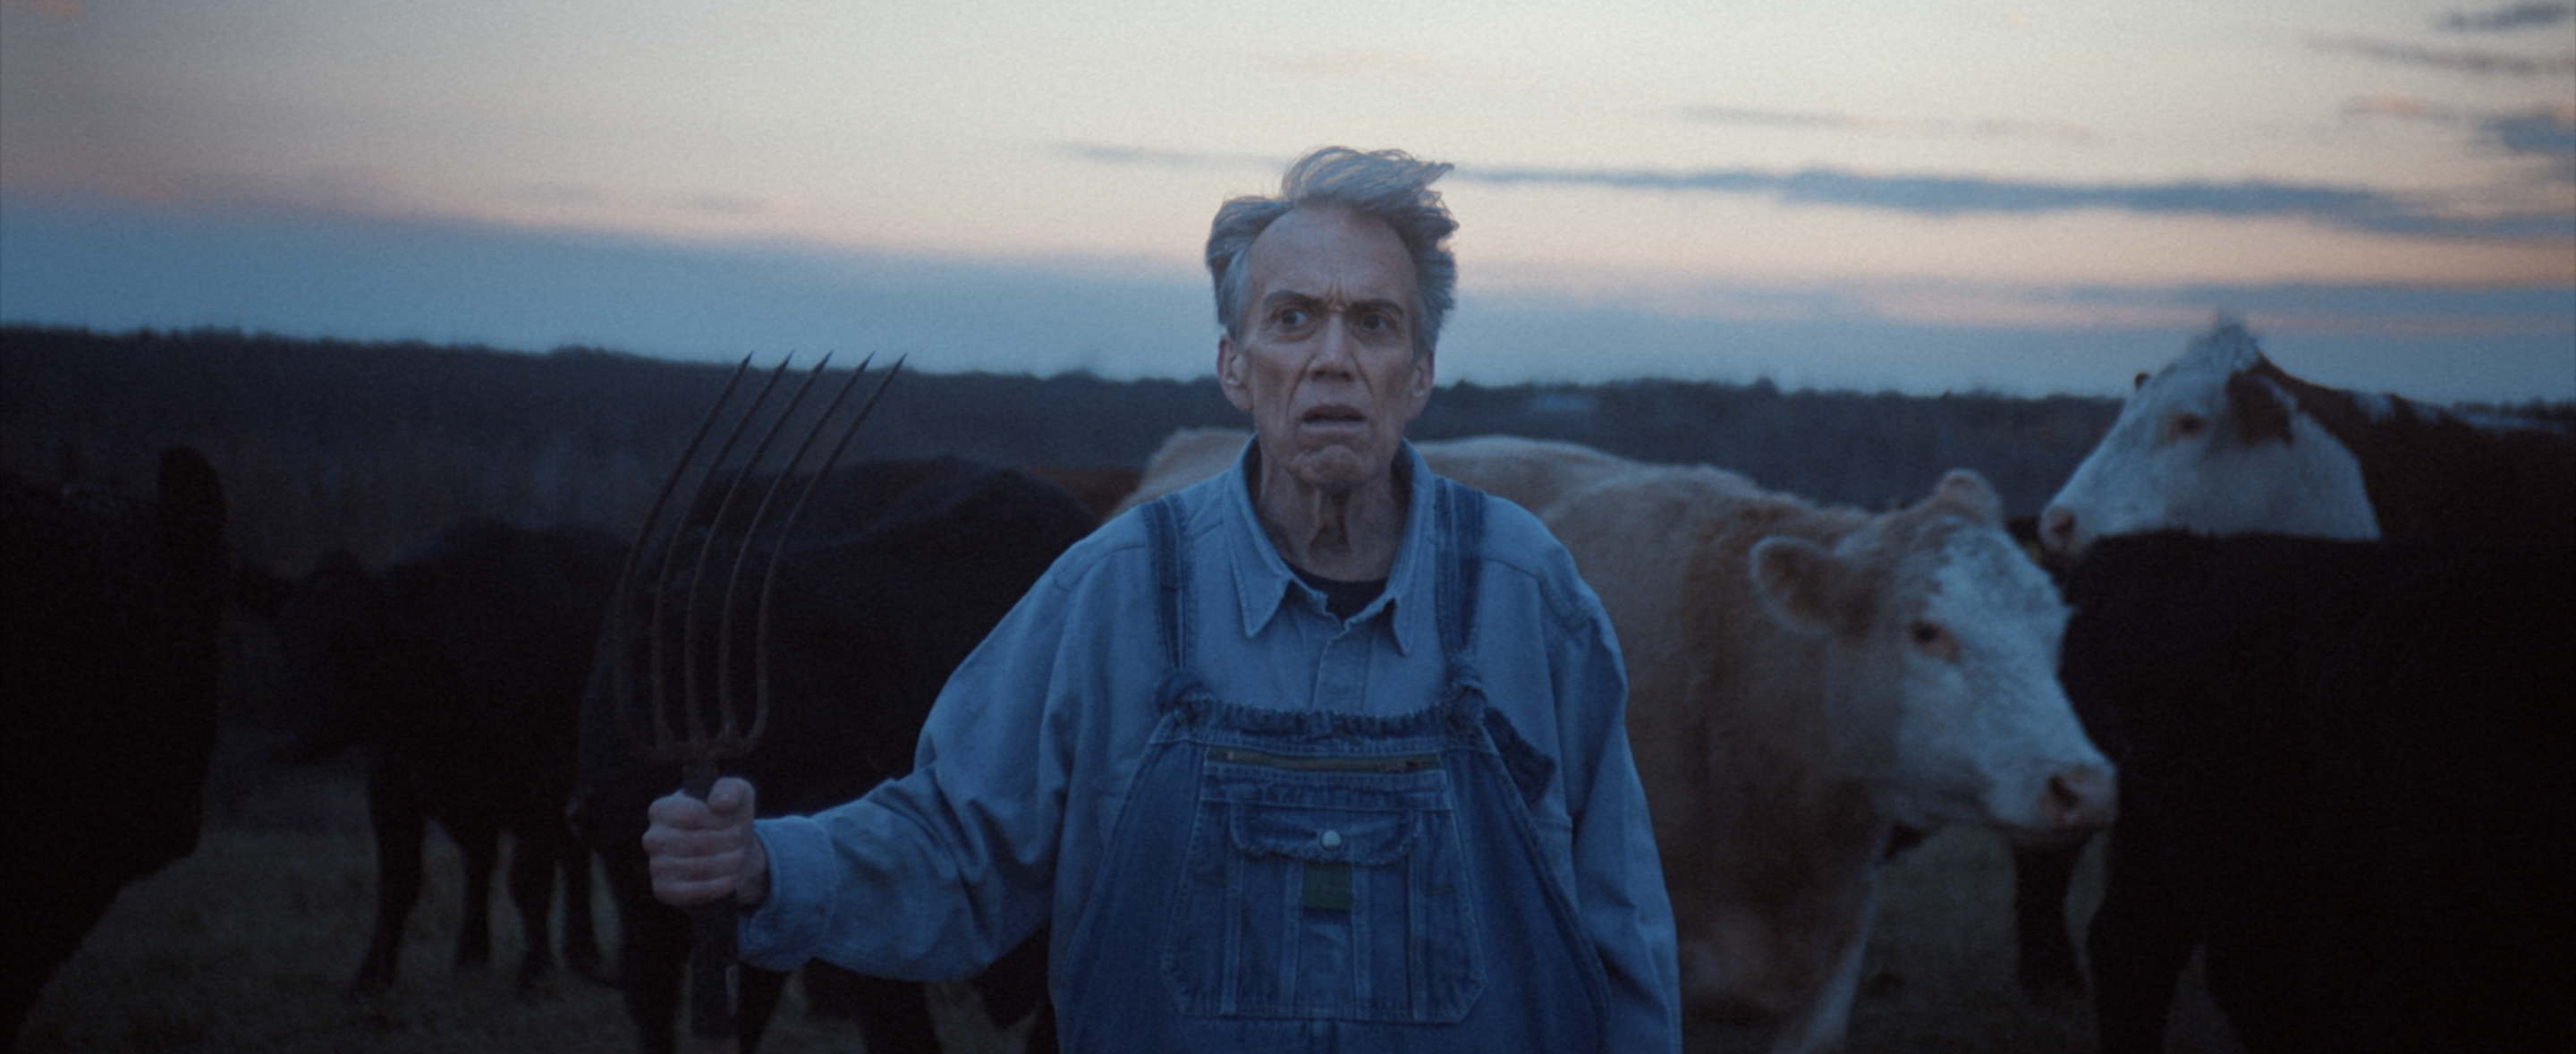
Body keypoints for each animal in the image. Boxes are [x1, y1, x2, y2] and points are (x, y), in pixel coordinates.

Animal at [252, 520, 623, 999]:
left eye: (354, 637)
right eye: (284, 637)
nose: (284, 737)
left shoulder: (540, 784)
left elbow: (528, 880)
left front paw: (534, 976)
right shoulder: (391, 782)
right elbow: (398, 881)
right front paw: (370, 978)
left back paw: (583, 953)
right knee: (504, 860)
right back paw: (488, 956)